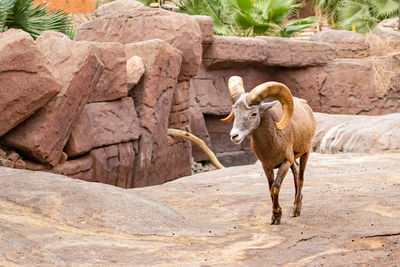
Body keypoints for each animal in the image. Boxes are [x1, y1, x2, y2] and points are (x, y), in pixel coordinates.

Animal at [222, 76, 316, 225]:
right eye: (235, 112)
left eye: (254, 113)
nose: (234, 135)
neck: (272, 143)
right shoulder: (266, 166)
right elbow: (270, 188)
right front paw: (274, 216)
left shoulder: (285, 162)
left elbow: (275, 187)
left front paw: (277, 217)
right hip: (293, 160)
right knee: (296, 174)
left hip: (305, 153)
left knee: (300, 177)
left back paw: (296, 210)